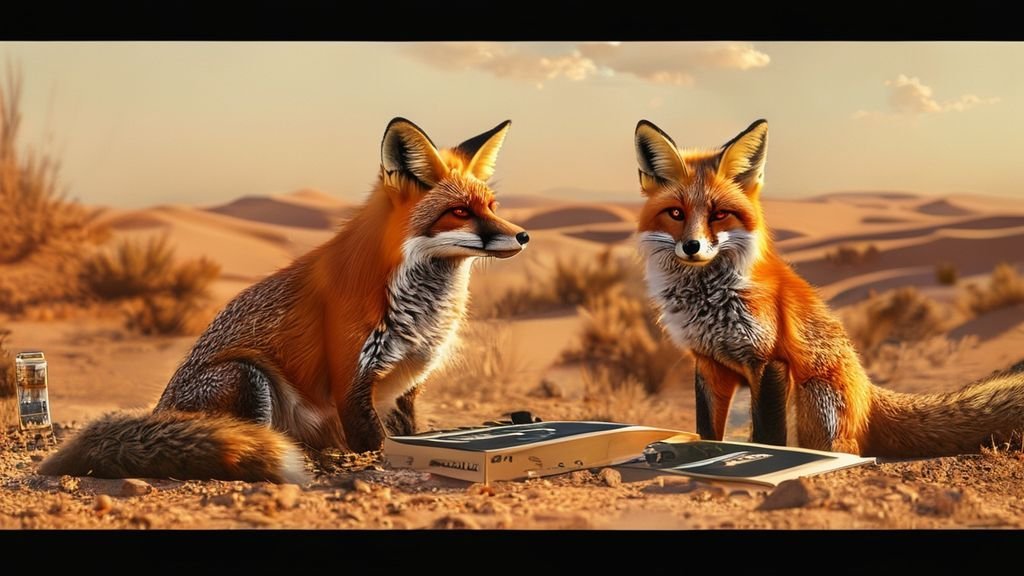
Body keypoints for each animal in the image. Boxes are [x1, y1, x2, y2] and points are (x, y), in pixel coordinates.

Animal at [39, 117, 530, 482]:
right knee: (247, 440)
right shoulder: (350, 377)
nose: (524, 235)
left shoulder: (409, 382)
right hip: (247, 376)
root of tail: (161, 410)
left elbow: (409, 431)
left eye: (491, 205)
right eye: (460, 212)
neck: (420, 304)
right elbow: (372, 440)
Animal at [633, 118, 1024, 457]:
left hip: (812, 395)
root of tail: (867, 388)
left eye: (719, 215)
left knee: (841, 448)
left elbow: (768, 436)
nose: (692, 246)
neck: (708, 299)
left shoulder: (768, 360)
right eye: (676, 213)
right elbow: (707, 429)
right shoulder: (708, 362)